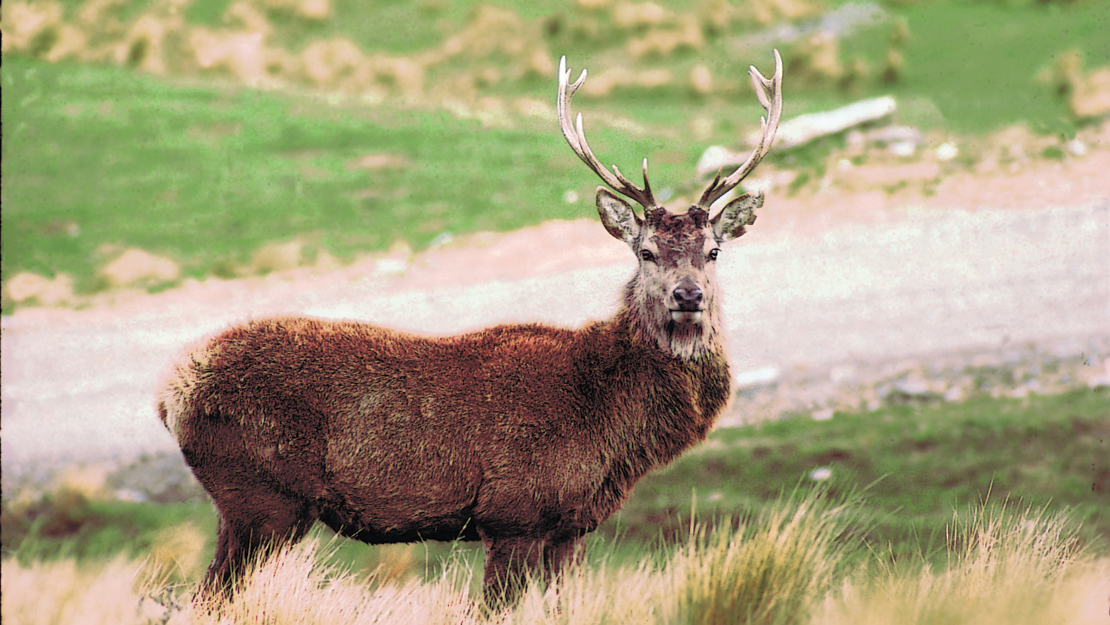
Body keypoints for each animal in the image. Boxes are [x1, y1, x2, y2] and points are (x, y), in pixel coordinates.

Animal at [156, 51, 785, 608]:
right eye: (647, 252)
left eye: (714, 251)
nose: (688, 296)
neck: (609, 424)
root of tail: (171, 393)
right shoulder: (513, 514)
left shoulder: (572, 527)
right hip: (261, 499)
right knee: (210, 597)